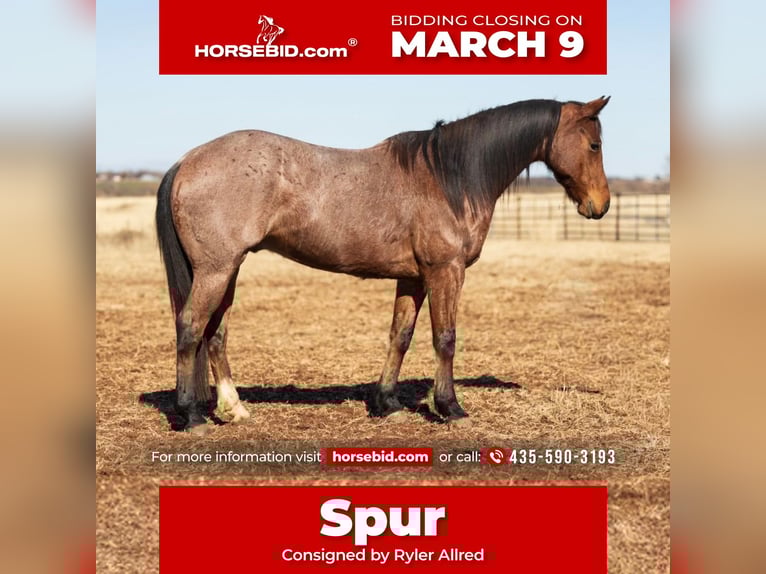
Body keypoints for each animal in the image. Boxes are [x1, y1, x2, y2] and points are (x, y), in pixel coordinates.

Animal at [155, 97, 611, 435]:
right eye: (594, 145)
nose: (601, 205)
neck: (450, 177)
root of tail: (186, 160)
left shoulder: (413, 279)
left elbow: (400, 337)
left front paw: (387, 403)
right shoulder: (446, 271)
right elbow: (445, 338)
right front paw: (450, 407)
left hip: (227, 270)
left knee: (215, 334)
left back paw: (234, 409)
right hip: (215, 270)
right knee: (191, 328)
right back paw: (192, 416)